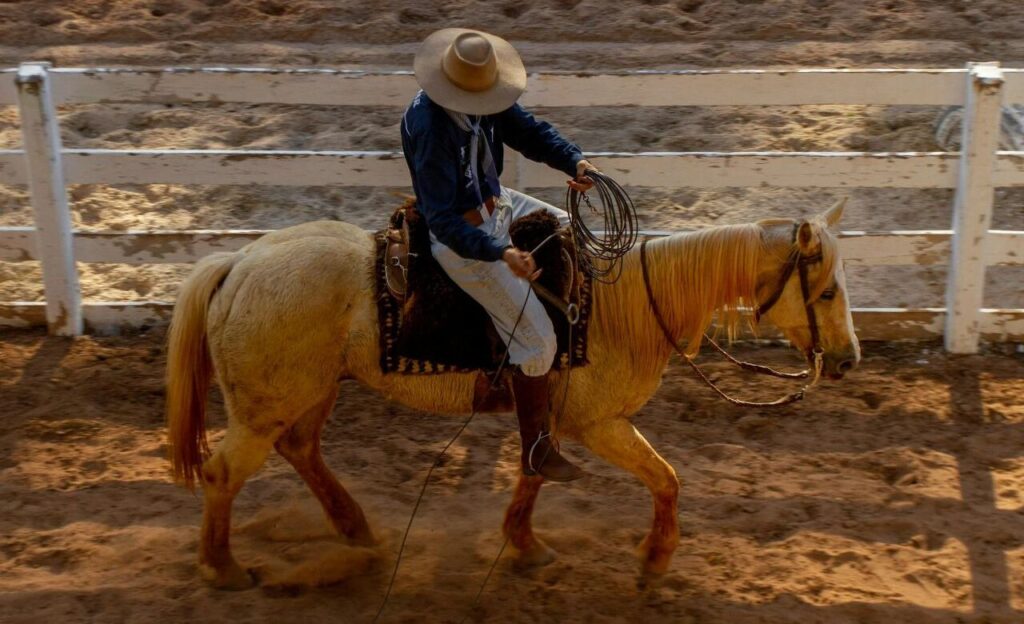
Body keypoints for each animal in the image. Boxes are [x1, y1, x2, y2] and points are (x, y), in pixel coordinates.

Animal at [165, 198, 860, 589]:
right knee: (224, 473)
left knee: (303, 452)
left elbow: (533, 471)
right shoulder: (597, 423)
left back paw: (357, 530)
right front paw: (655, 558)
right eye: (826, 290)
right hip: (264, 409)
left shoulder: (550, 413)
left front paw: (524, 544)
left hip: (310, 393)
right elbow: (666, 480)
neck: (626, 307)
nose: (848, 359)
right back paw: (222, 567)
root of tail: (239, 263)